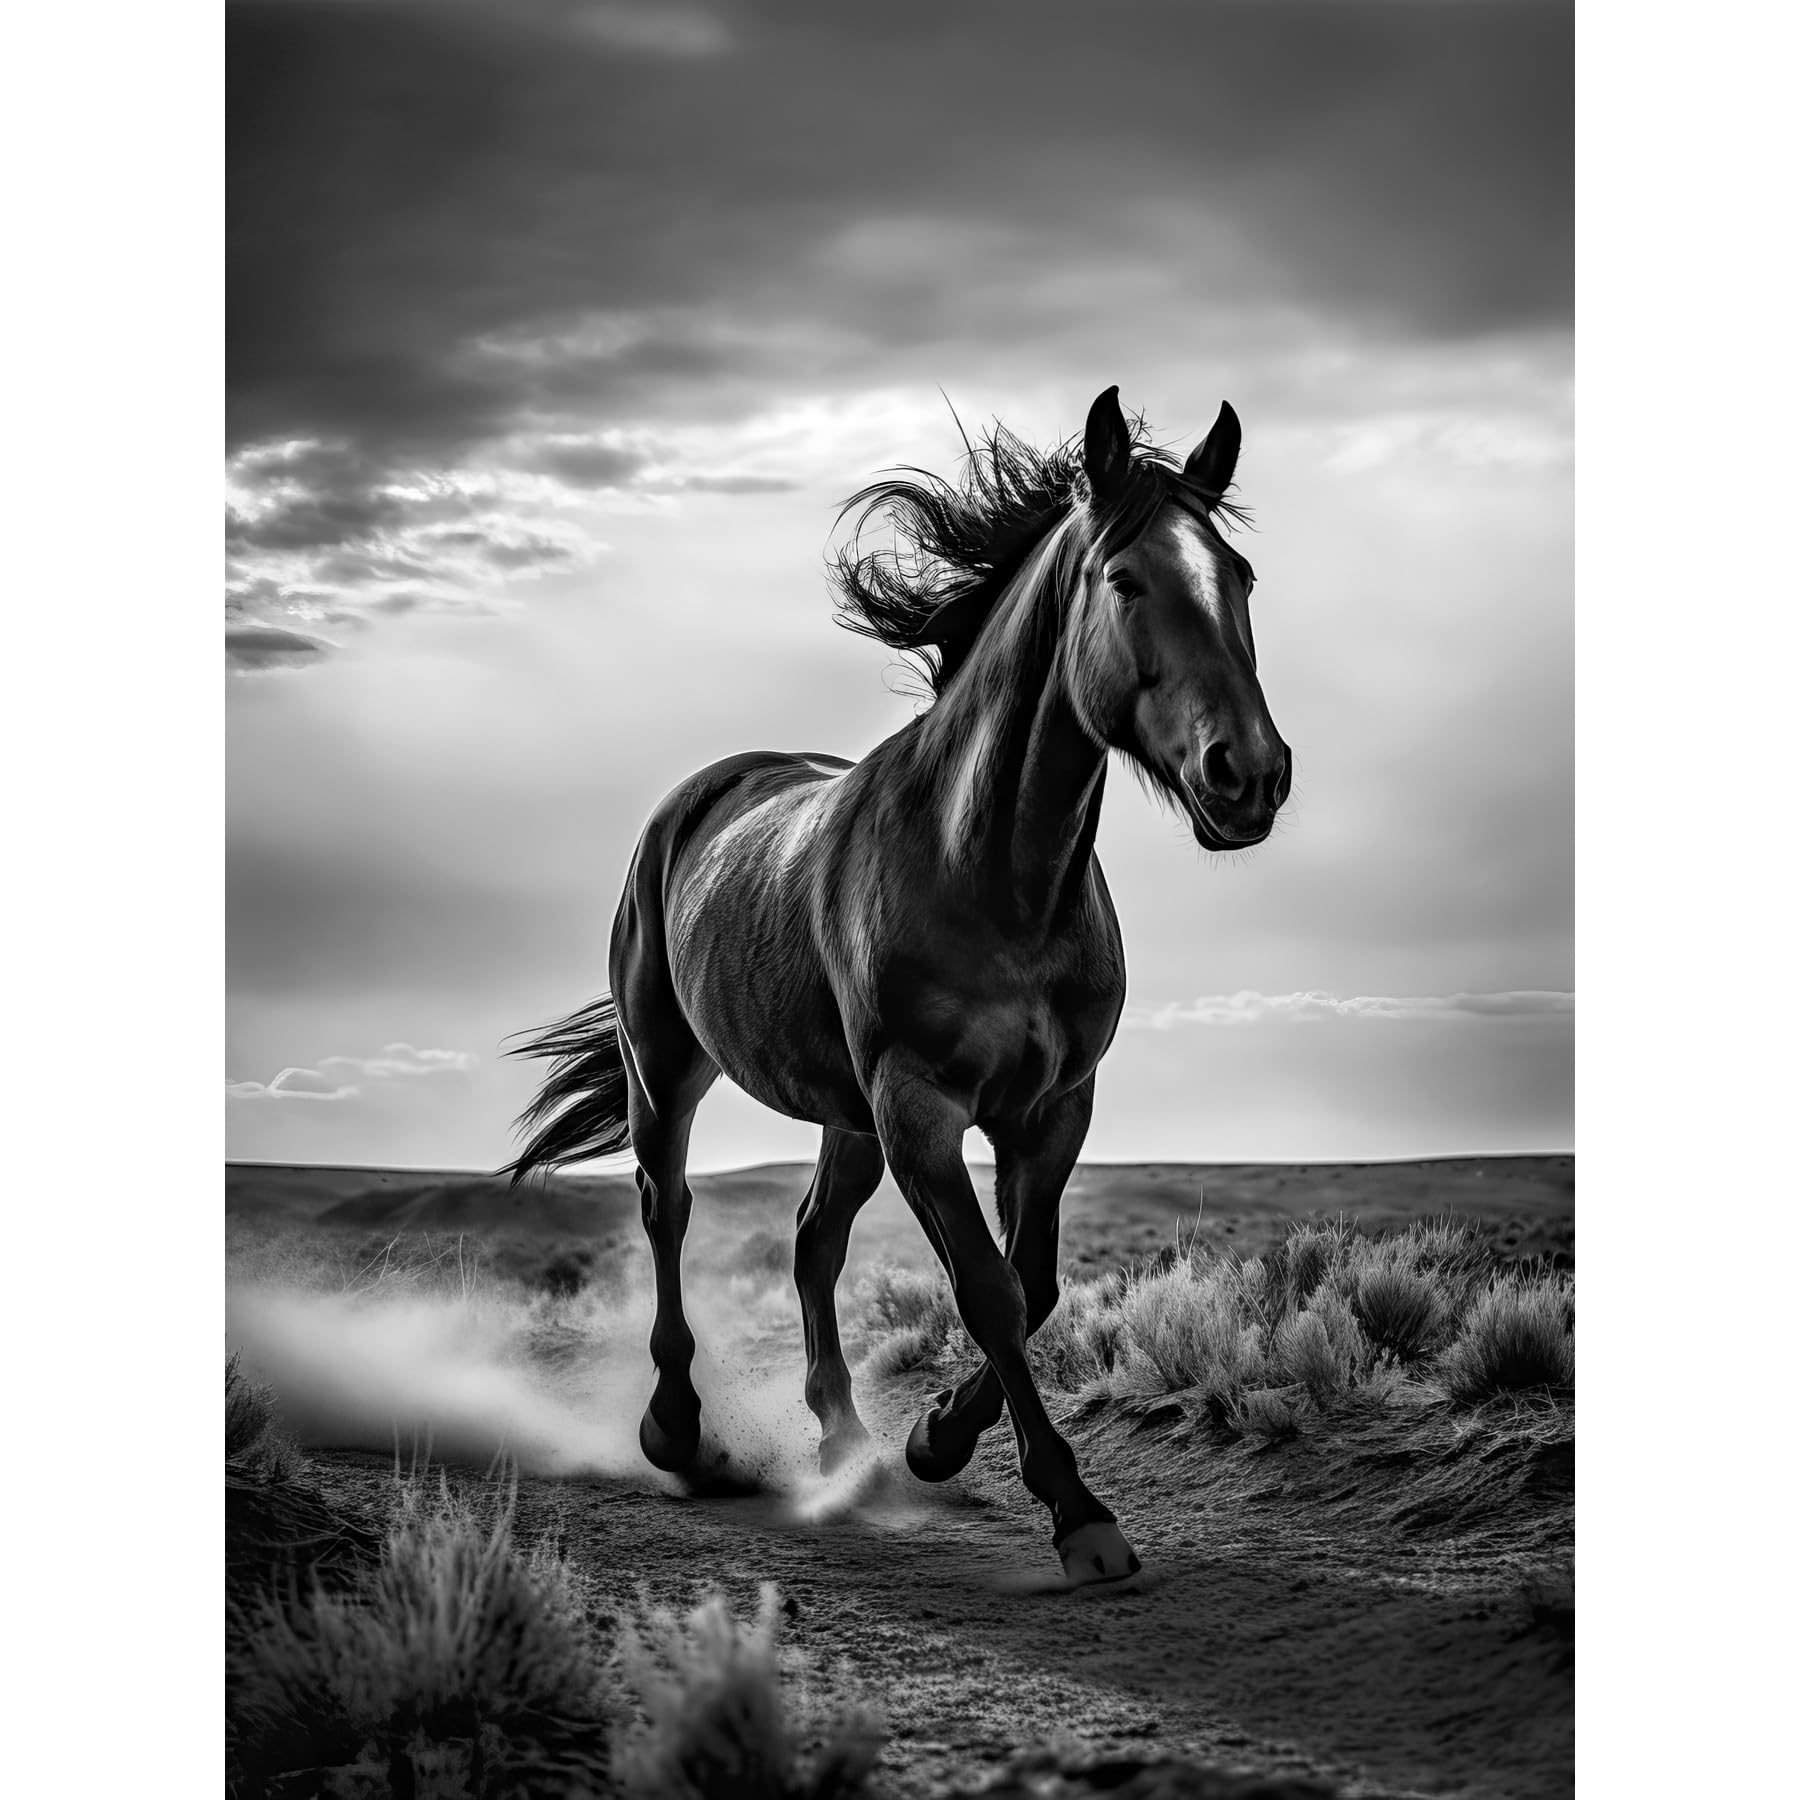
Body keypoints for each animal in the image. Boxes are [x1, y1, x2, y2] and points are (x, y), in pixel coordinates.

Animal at [507, 386, 1291, 1584]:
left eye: (1239, 577)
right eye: (1126, 580)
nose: (1249, 775)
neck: (993, 873)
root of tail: (697, 797)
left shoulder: (1051, 1110)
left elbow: (1036, 1283)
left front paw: (934, 1439)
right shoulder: (920, 1107)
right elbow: (990, 1290)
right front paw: (1075, 1511)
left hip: (845, 1117)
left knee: (811, 1241)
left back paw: (847, 1443)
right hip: (671, 1074)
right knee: (667, 1209)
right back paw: (679, 1432)